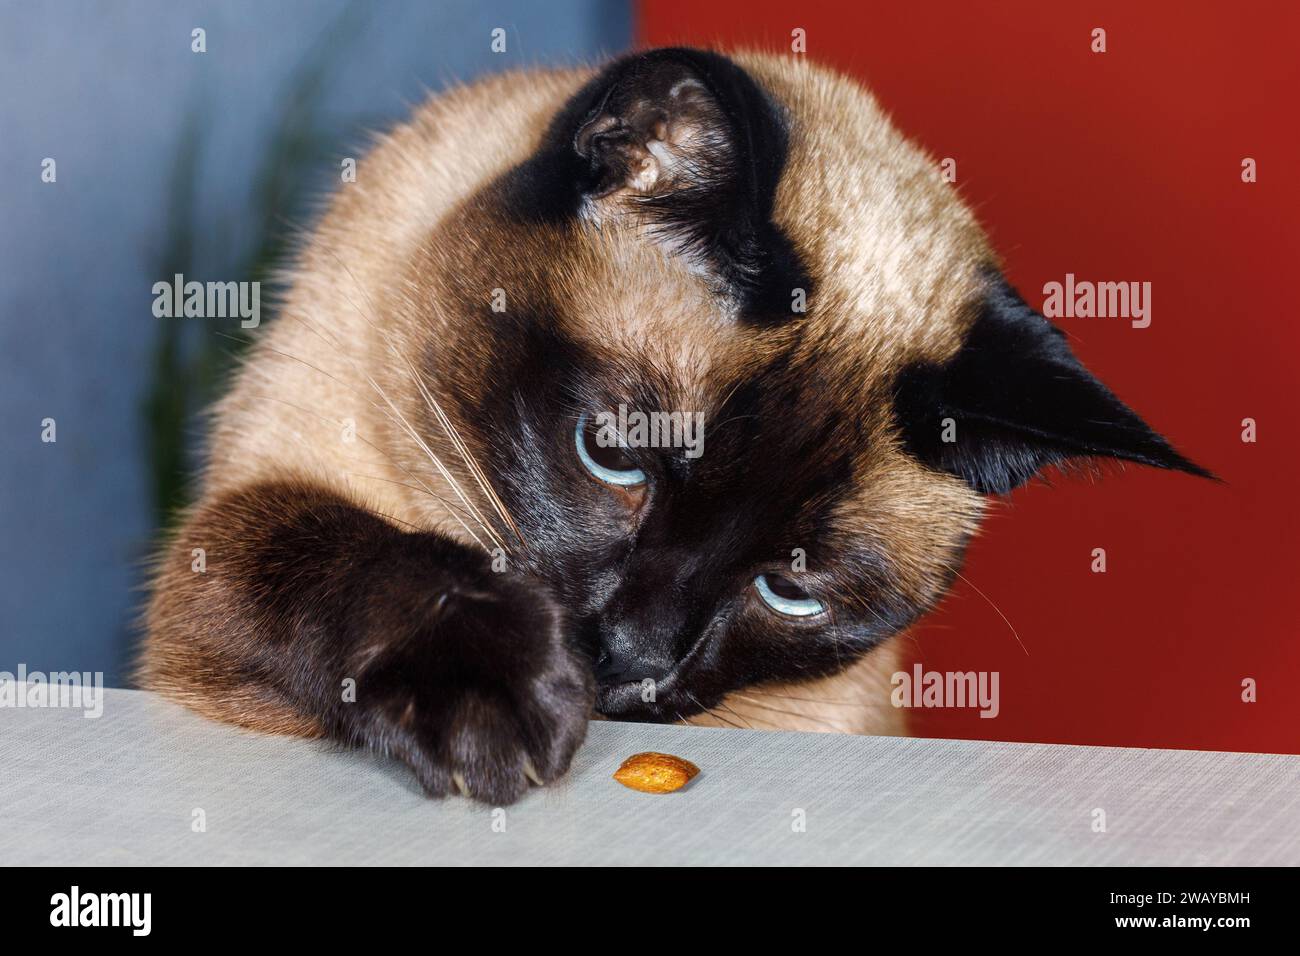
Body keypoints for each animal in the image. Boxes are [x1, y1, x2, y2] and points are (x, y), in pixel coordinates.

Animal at [142, 48, 1206, 806]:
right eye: (613, 460)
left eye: (790, 593)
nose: (628, 660)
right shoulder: (218, 555)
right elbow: (365, 552)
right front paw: (499, 696)